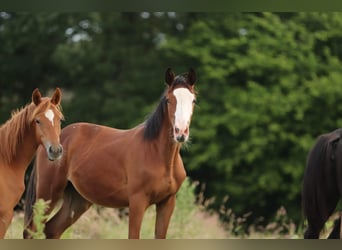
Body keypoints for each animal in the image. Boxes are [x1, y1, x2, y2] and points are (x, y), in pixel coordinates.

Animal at [24, 68, 198, 238]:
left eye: (193, 101)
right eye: (169, 100)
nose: (180, 132)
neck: (158, 155)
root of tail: (51, 141)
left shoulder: (167, 203)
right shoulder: (137, 201)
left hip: (77, 201)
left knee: (51, 230)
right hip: (48, 193)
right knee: (32, 230)